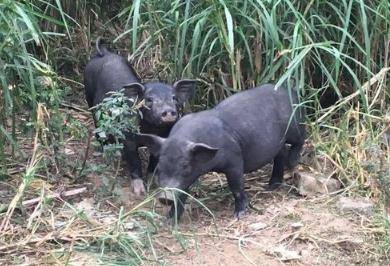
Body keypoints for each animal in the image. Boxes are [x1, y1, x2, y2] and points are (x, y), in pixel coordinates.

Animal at [84, 37, 197, 195]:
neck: (151, 129)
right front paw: (140, 192)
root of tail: (104, 52)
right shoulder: (128, 138)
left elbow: (154, 161)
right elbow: (134, 161)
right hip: (89, 98)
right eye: (149, 99)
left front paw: (153, 184)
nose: (168, 111)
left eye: (174, 98)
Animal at [139, 84, 306, 220]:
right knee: (280, 154)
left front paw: (239, 215)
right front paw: (169, 220)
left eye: (185, 166)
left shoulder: (235, 160)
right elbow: (181, 194)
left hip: (294, 125)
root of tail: (291, 91)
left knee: (301, 137)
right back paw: (271, 186)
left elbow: (236, 187)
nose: (165, 197)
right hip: (278, 143)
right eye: (159, 167)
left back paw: (292, 162)